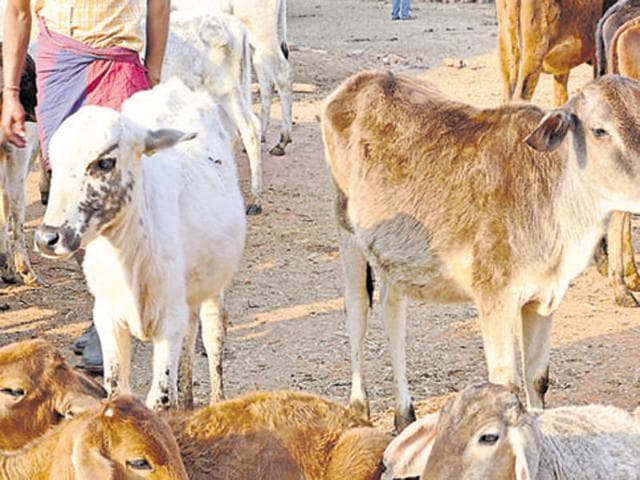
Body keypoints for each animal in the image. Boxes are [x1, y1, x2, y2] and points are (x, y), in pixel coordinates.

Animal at [322, 70, 640, 432]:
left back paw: (405, 415)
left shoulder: (544, 298)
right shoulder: (495, 297)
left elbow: (537, 378)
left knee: (393, 310)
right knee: (357, 308)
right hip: (346, 229)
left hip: (392, 256)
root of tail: (361, 81)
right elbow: (506, 384)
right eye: (600, 130)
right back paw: (359, 408)